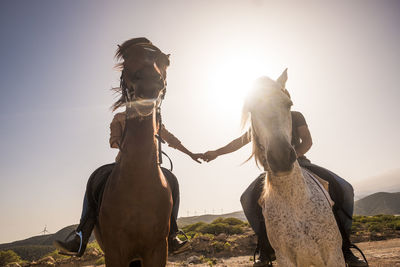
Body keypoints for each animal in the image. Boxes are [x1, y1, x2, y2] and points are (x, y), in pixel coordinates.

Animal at [242, 70, 346, 266]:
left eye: (288, 104)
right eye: (251, 109)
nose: (281, 158)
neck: (294, 201)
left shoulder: (334, 254)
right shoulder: (285, 258)